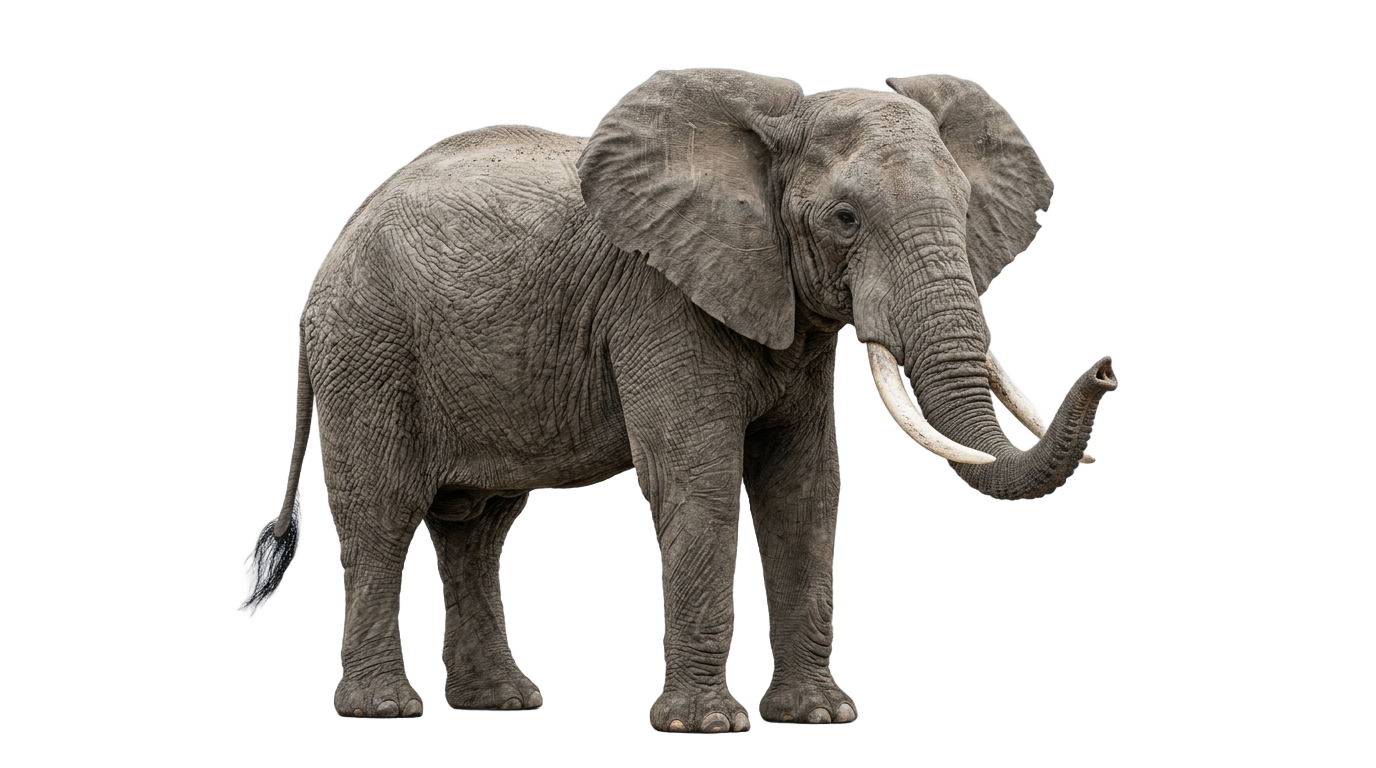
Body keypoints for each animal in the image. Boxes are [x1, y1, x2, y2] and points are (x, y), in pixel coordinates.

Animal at [243, 68, 1115, 732]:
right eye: (845, 218)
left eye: (968, 214)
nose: (1105, 370)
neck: (773, 126)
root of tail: (327, 265)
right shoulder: (658, 301)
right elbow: (700, 485)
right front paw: (705, 728)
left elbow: (802, 492)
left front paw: (819, 718)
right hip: (368, 346)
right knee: (382, 513)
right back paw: (383, 712)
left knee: (476, 526)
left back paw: (503, 706)